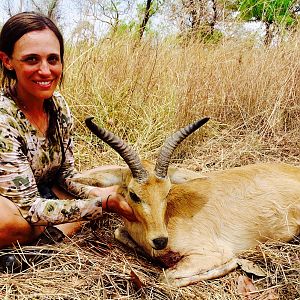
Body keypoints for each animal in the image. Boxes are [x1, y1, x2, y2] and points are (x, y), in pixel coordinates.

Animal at [74, 116, 300, 286]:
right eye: (134, 194)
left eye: (167, 192)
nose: (160, 240)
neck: (168, 219)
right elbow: (119, 232)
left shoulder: (211, 252)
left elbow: (166, 278)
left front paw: (233, 264)